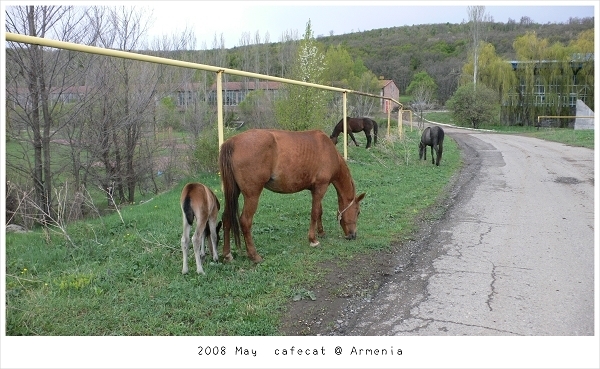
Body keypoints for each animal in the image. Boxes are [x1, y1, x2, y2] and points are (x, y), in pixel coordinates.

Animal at [218, 129, 364, 262]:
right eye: (358, 212)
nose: (353, 235)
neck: (329, 151)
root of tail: (232, 142)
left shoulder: (316, 189)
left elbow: (319, 212)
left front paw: (321, 232)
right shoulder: (320, 188)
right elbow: (315, 213)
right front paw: (313, 240)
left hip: (233, 192)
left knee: (226, 218)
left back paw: (227, 255)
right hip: (252, 195)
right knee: (245, 221)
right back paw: (254, 256)